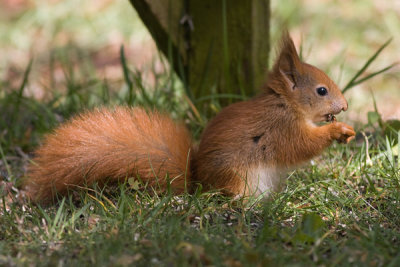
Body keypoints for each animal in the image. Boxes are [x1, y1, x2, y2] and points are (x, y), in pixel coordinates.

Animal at [23, 32, 356, 203]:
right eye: (322, 90)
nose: (344, 106)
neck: (284, 104)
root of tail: (198, 185)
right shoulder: (280, 129)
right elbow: (300, 146)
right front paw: (338, 130)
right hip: (240, 178)